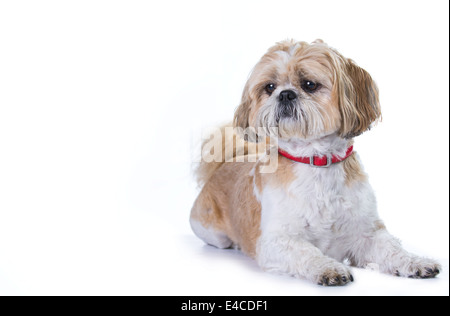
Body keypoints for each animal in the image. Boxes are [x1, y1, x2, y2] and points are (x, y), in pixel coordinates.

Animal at [189, 39, 440, 286]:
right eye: (269, 87)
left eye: (309, 84)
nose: (285, 94)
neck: (316, 161)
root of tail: (227, 162)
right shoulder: (276, 242)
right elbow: (306, 252)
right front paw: (329, 268)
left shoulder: (366, 233)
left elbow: (392, 249)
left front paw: (416, 262)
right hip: (211, 231)